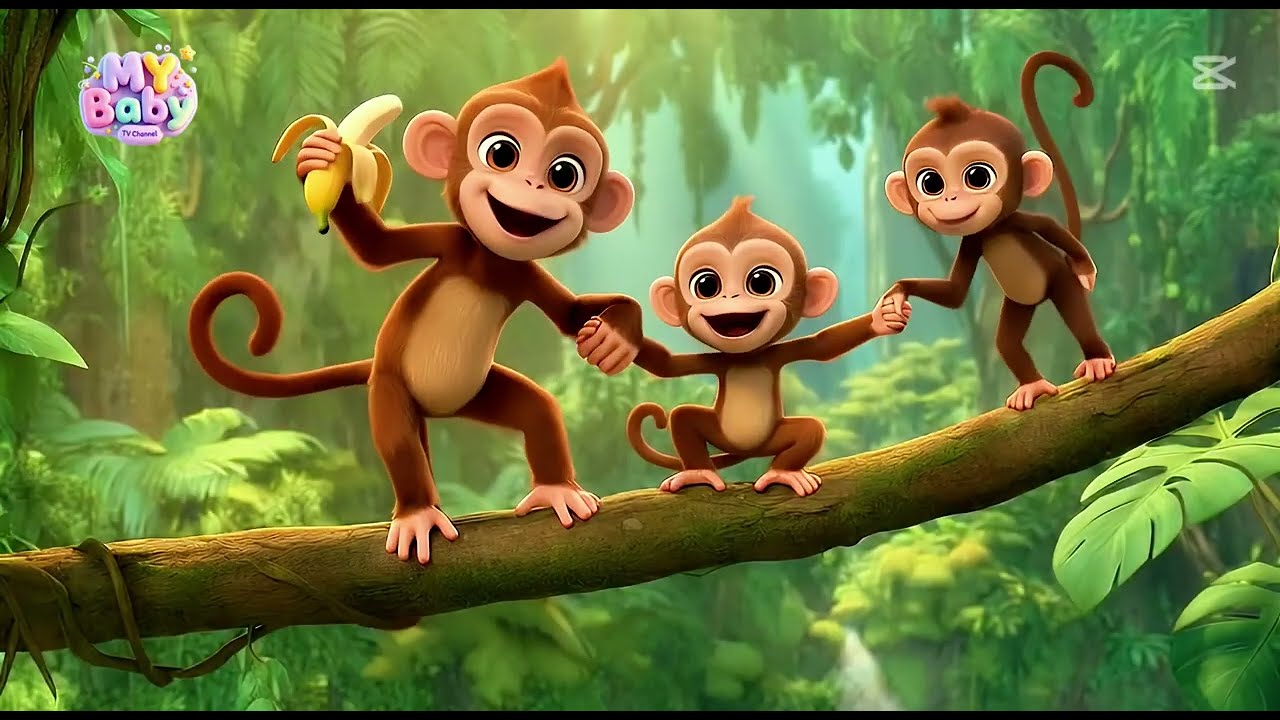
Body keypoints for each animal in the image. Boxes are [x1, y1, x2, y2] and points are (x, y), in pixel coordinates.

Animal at [188, 59, 645, 565]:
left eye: (565, 174)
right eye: (501, 152)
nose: (532, 184)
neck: (488, 260)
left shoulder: (522, 273)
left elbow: (570, 314)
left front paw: (615, 337)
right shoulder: (453, 241)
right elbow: (377, 249)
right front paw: (325, 160)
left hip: (477, 392)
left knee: (538, 410)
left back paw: (555, 491)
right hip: (390, 386)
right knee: (399, 440)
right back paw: (418, 513)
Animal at [579, 197, 910, 496]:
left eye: (761, 281)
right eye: (706, 285)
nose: (731, 298)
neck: (746, 356)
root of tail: (749, 450)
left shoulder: (779, 353)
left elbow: (824, 345)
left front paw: (883, 317)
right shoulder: (715, 359)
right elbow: (667, 364)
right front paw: (616, 337)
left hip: (773, 437)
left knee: (810, 430)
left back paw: (784, 472)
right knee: (683, 418)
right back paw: (698, 472)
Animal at [881, 51, 1116, 412]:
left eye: (978, 176)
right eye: (930, 182)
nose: (950, 198)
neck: (993, 230)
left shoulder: (1020, 220)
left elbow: (1052, 229)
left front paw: (1087, 270)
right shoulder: (972, 240)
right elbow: (955, 292)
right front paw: (899, 291)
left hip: (1060, 280)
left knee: (1079, 318)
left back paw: (1097, 359)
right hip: (1018, 304)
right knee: (1006, 342)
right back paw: (1031, 386)